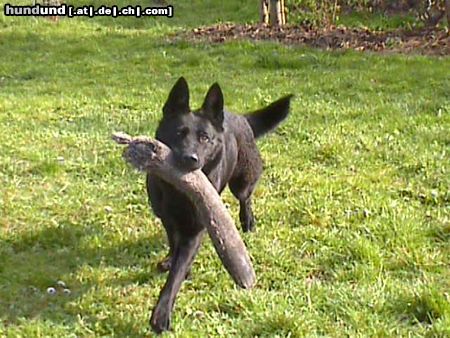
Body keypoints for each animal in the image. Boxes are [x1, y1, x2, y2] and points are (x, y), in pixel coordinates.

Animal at [146, 77, 290, 332]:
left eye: (205, 138)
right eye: (179, 133)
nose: (190, 159)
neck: (179, 191)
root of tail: (239, 116)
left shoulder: (195, 231)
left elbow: (176, 274)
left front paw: (162, 312)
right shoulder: (167, 218)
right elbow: (173, 242)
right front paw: (170, 259)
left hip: (242, 181)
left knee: (245, 198)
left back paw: (247, 220)